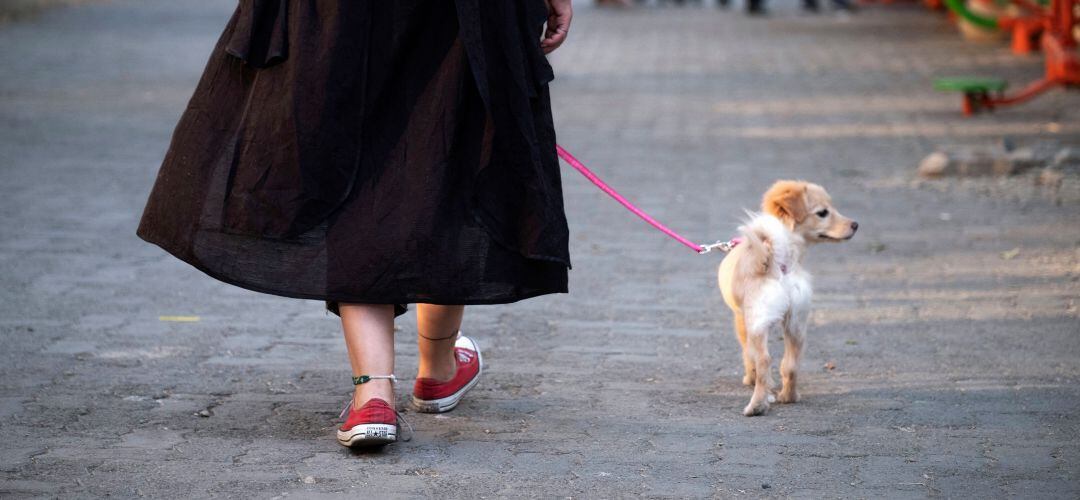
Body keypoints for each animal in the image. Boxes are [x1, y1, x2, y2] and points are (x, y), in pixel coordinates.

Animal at [717, 182, 859, 416]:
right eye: (823, 213)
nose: (855, 225)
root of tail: (778, 264)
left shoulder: (741, 320)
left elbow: (748, 356)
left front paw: (750, 378)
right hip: (797, 324)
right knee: (790, 365)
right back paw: (788, 396)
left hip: (758, 324)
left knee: (764, 360)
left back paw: (756, 405)